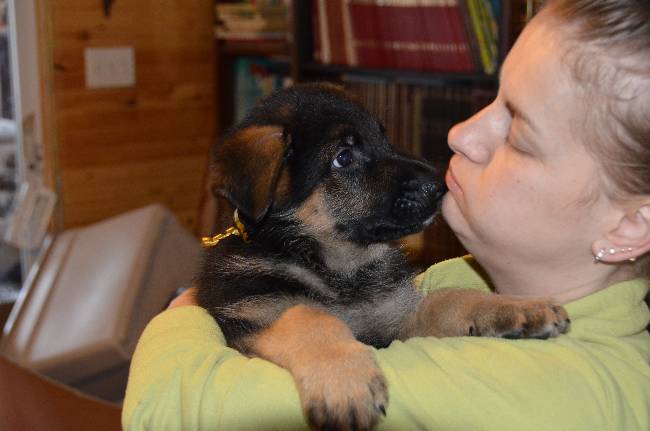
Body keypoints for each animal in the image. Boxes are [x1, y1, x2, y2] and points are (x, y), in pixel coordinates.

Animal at [196, 82, 568, 430]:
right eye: (343, 157)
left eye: (383, 137)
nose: (439, 185)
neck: (335, 267)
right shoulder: (246, 320)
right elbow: (309, 316)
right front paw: (344, 380)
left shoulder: (396, 322)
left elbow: (447, 299)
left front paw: (516, 306)